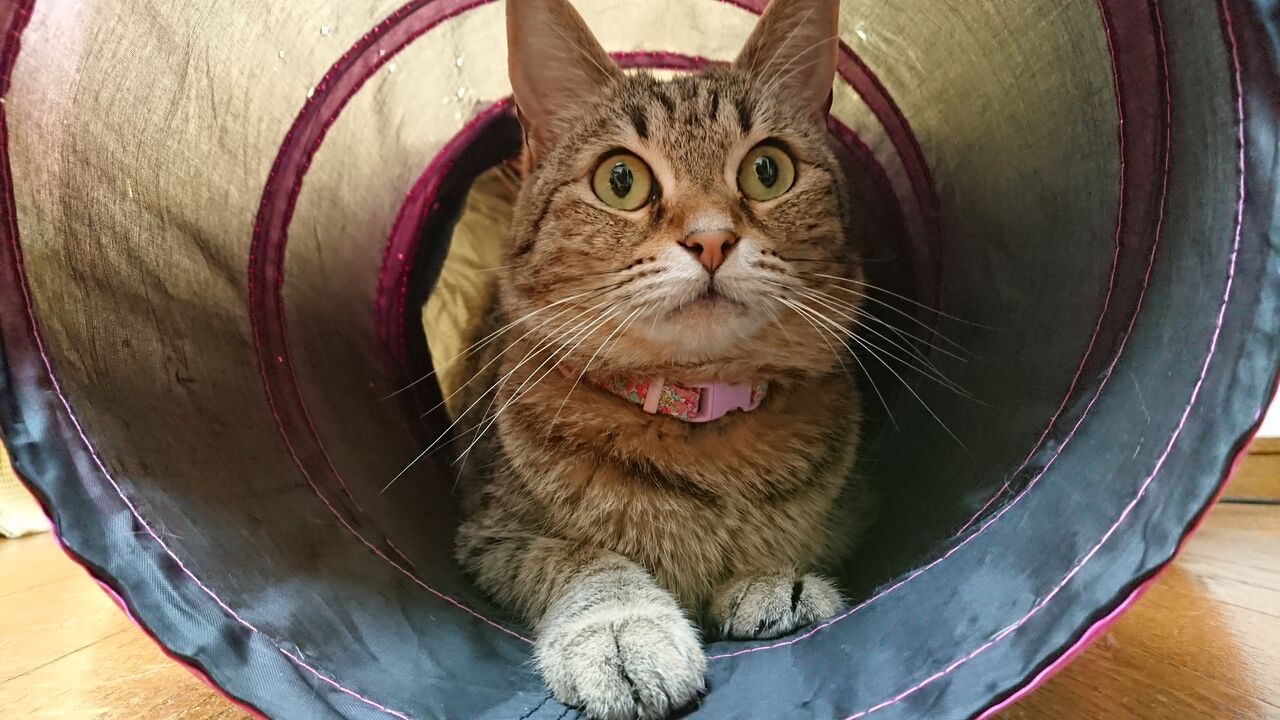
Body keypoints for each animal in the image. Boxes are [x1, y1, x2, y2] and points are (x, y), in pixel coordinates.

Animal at [452, 0, 866, 717]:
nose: (711, 238)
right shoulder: (488, 535)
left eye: (768, 170)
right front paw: (621, 628)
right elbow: (581, 560)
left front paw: (773, 577)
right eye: (621, 180)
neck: (698, 425)